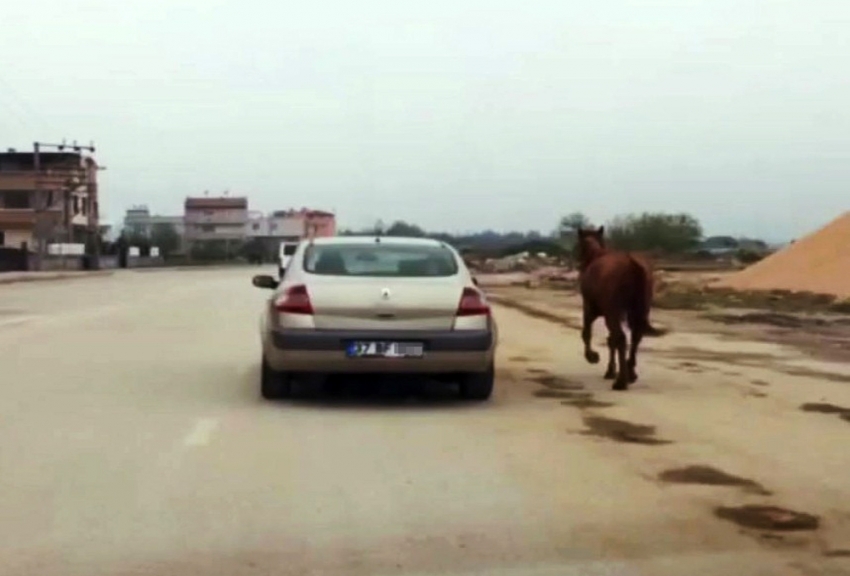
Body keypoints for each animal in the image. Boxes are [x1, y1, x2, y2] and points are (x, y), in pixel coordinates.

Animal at [572, 227, 664, 390]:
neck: (595, 255)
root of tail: (632, 264)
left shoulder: (591, 309)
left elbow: (587, 333)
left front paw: (593, 357)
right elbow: (611, 340)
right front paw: (610, 370)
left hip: (612, 312)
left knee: (621, 338)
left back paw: (621, 381)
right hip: (638, 311)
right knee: (635, 336)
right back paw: (631, 373)